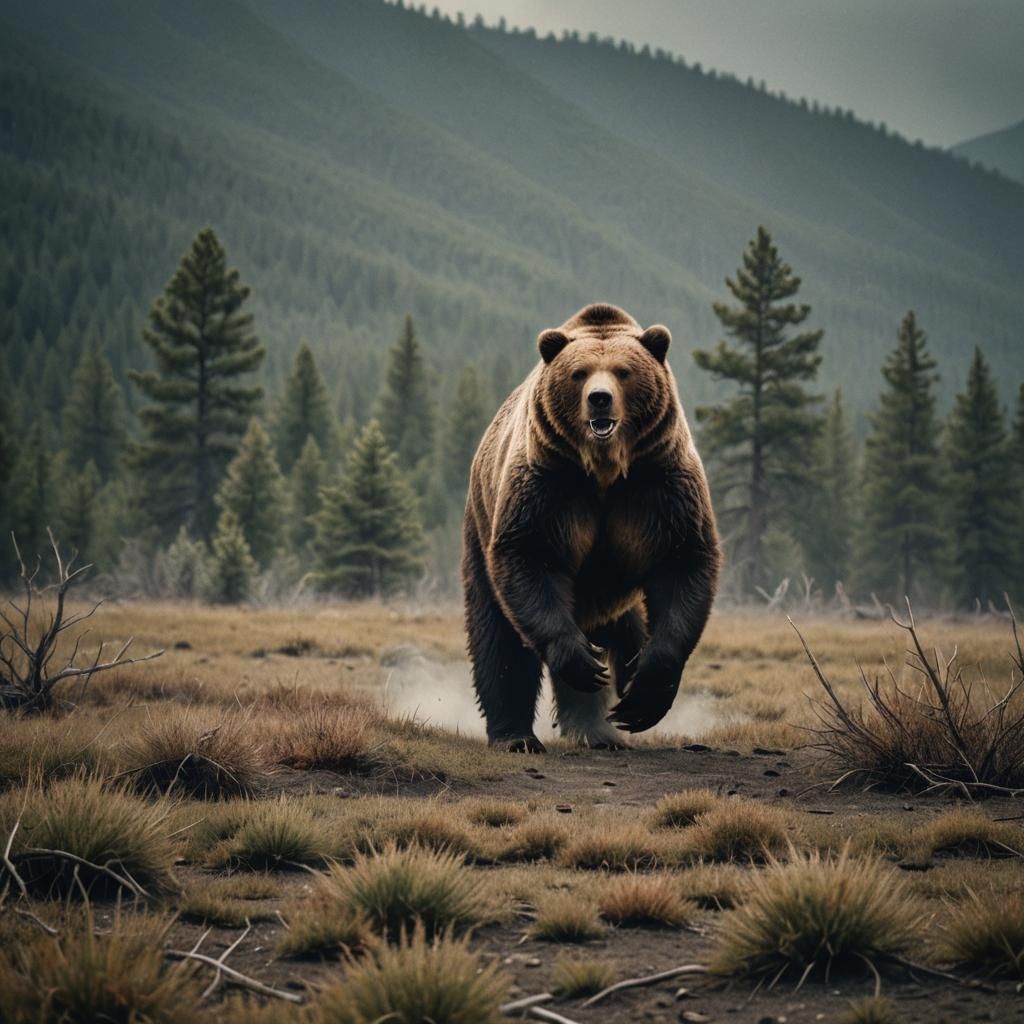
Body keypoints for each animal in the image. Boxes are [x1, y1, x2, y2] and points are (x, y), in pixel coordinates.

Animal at [462, 302, 721, 752]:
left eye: (623, 371)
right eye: (579, 373)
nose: (599, 399)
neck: (603, 469)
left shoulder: (660, 483)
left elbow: (683, 562)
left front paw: (643, 696)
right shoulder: (548, 485)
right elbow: (530, 556)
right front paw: (581, 664)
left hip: (616, 596)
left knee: (629, 629)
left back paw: (603, 726)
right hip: (480, 527)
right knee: (500, 637)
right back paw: (518, 735)